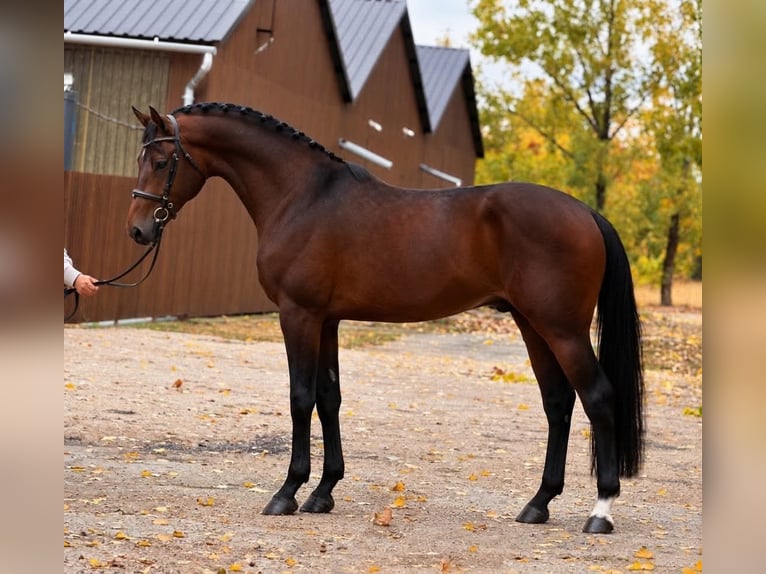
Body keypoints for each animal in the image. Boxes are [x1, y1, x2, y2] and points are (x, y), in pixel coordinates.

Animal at [127, 103, 644, 534]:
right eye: (141, 158)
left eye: (162, 162)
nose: (137, 230)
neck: (302, 197)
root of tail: (585, 211)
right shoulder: (328, 321)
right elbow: (328, 398)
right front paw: (323, 492)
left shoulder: (299, 315)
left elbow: (300, 398)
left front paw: (287, 492)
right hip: (532, 325)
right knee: (558, 403)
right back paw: (538, 504)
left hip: (562, 329)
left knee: (597, 397)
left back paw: (600, 511)